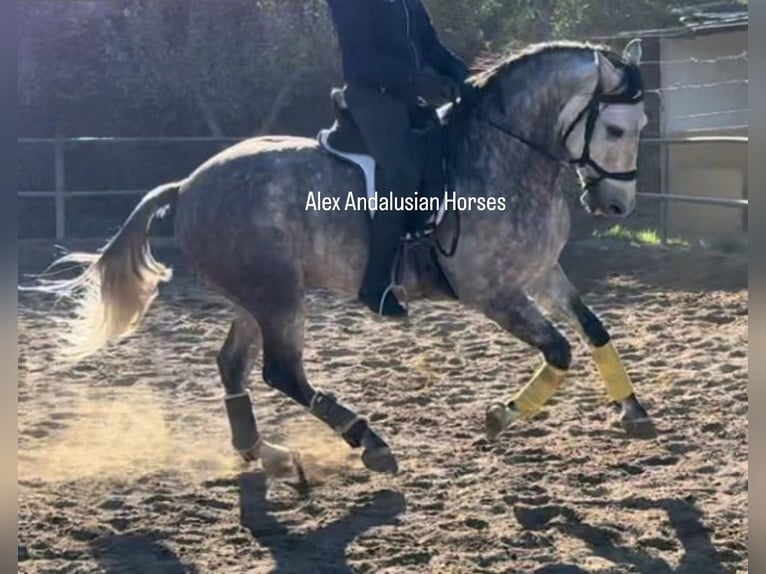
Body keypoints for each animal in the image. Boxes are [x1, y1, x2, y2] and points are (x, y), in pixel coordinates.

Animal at [27, 39, 656, 482]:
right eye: (615, 128)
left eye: (641, 127)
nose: (617, 206)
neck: (502, 157)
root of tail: (188, 185)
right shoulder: (493, 292)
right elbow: (560, 350)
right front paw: (500, 416)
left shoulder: (541, 273)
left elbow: (594, 328)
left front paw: (634, 412)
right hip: (278, 298)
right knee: (281, 372)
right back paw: (369, 443)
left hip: (256, 298)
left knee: (232, 365)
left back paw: (267, 454)